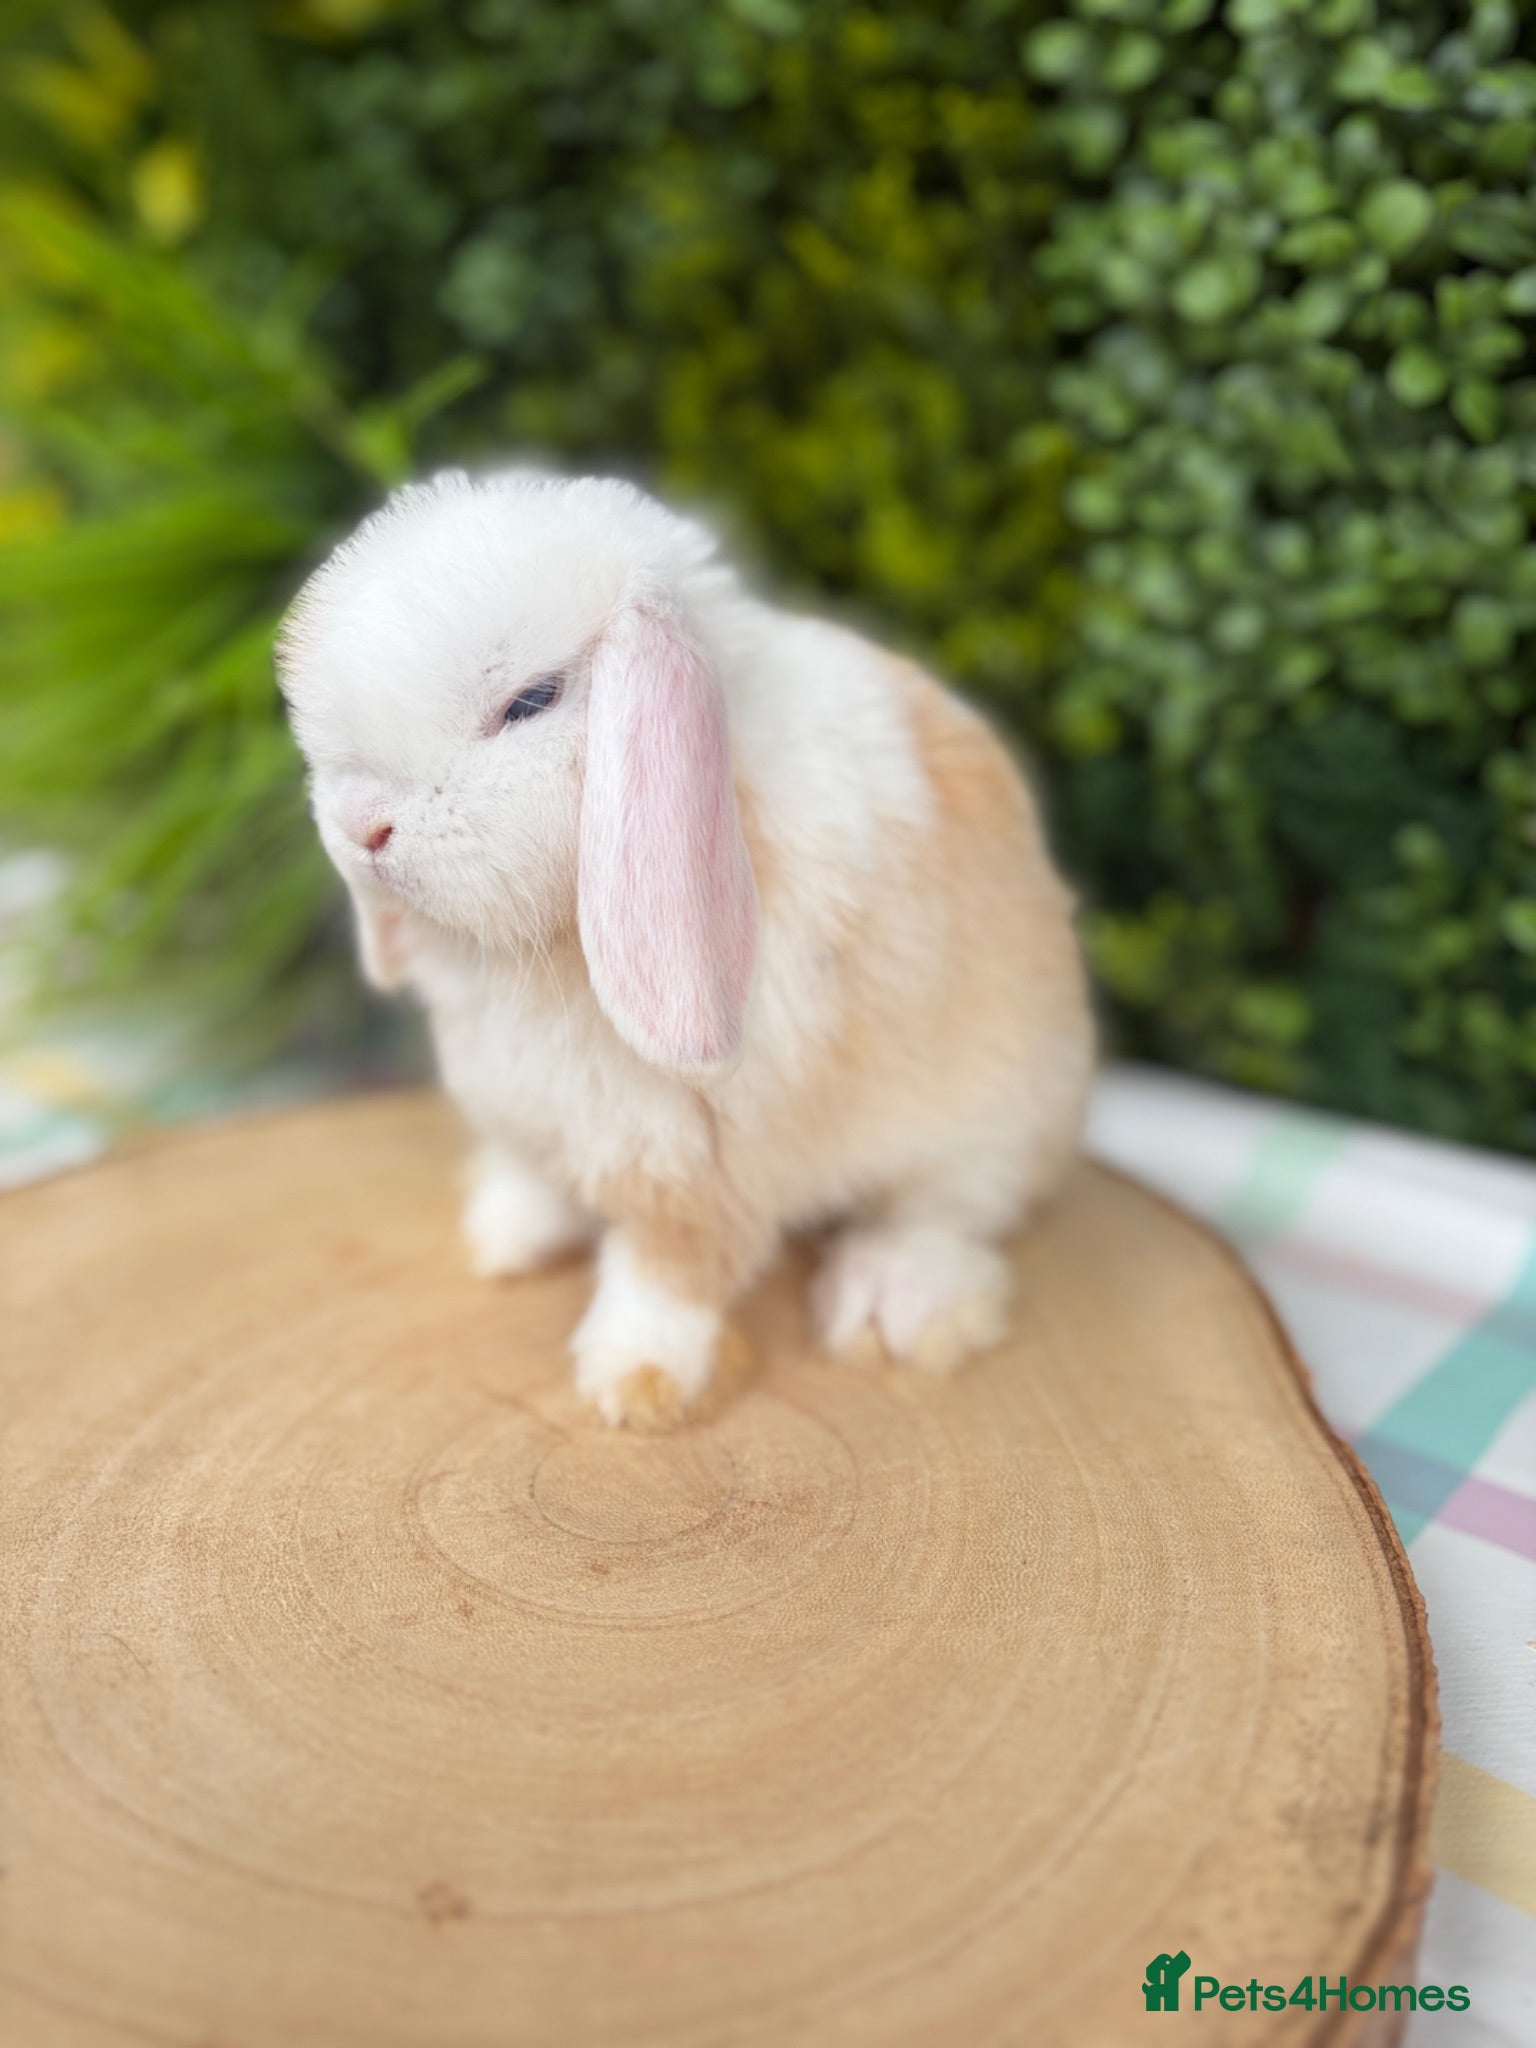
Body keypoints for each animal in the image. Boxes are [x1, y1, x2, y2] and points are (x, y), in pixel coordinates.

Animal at [277, 468, 1094, 1428]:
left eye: (530, 701)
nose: (361, 828)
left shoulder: (697, 1171)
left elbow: (667, 1277)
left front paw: (635, 1387)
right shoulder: (528, 1111)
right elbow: (531, 1177)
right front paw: (502, 1240)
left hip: (983, 1117)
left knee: (951, 1209)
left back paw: (894, 1302)